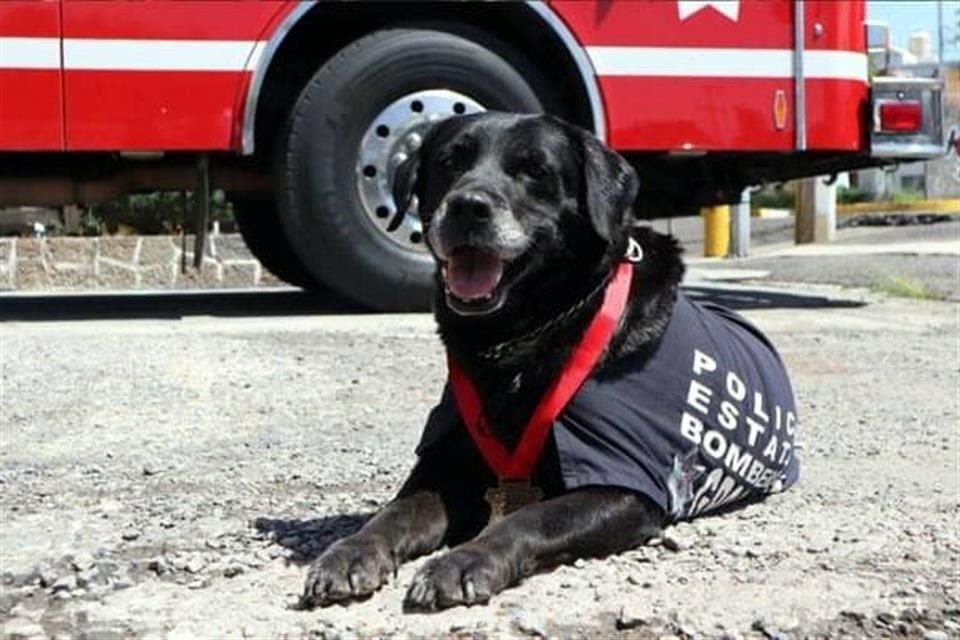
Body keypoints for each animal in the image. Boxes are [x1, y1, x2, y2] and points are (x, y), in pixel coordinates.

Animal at [296, 112, 800, 612]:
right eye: (449, 161)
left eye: (536, 170)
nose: (468, 207)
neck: (524, 338)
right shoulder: (446, 466)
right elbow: (394, 512)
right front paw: (350, 553)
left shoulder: (623, 487)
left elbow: (530, 518)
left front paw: (465, 560)